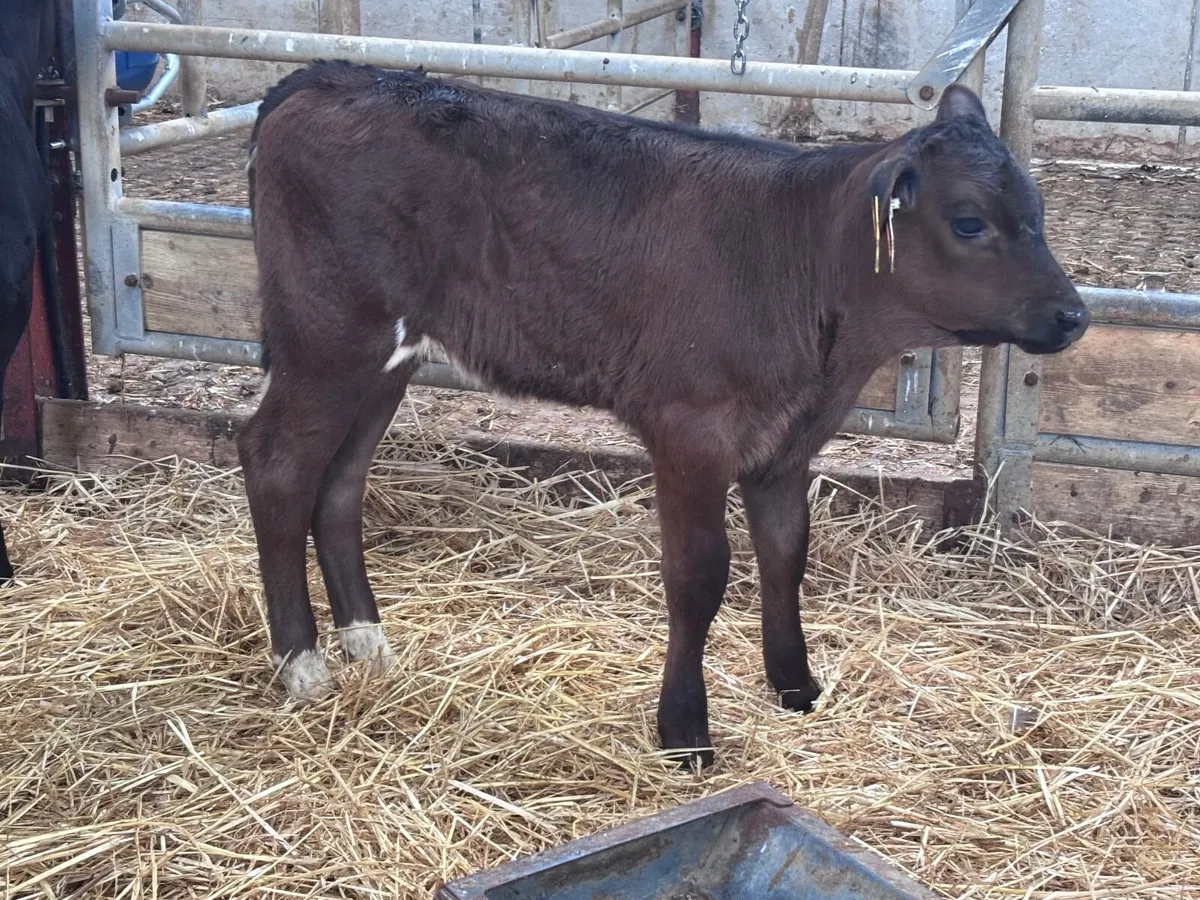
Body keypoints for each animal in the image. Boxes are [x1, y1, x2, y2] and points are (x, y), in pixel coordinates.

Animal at [239, 60, 1088, 768]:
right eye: (970, 221)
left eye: (1039, 211)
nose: (1073, 315)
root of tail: (328, 76)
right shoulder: (690, 428)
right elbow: (698, 575)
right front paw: (685, 730)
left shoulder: (786, 444)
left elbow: (787, 554)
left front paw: (796, 687)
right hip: (329, 337)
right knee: (276, 462)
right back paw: (303, 664)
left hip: (386, 357)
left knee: (340, 481)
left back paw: (366, 642)